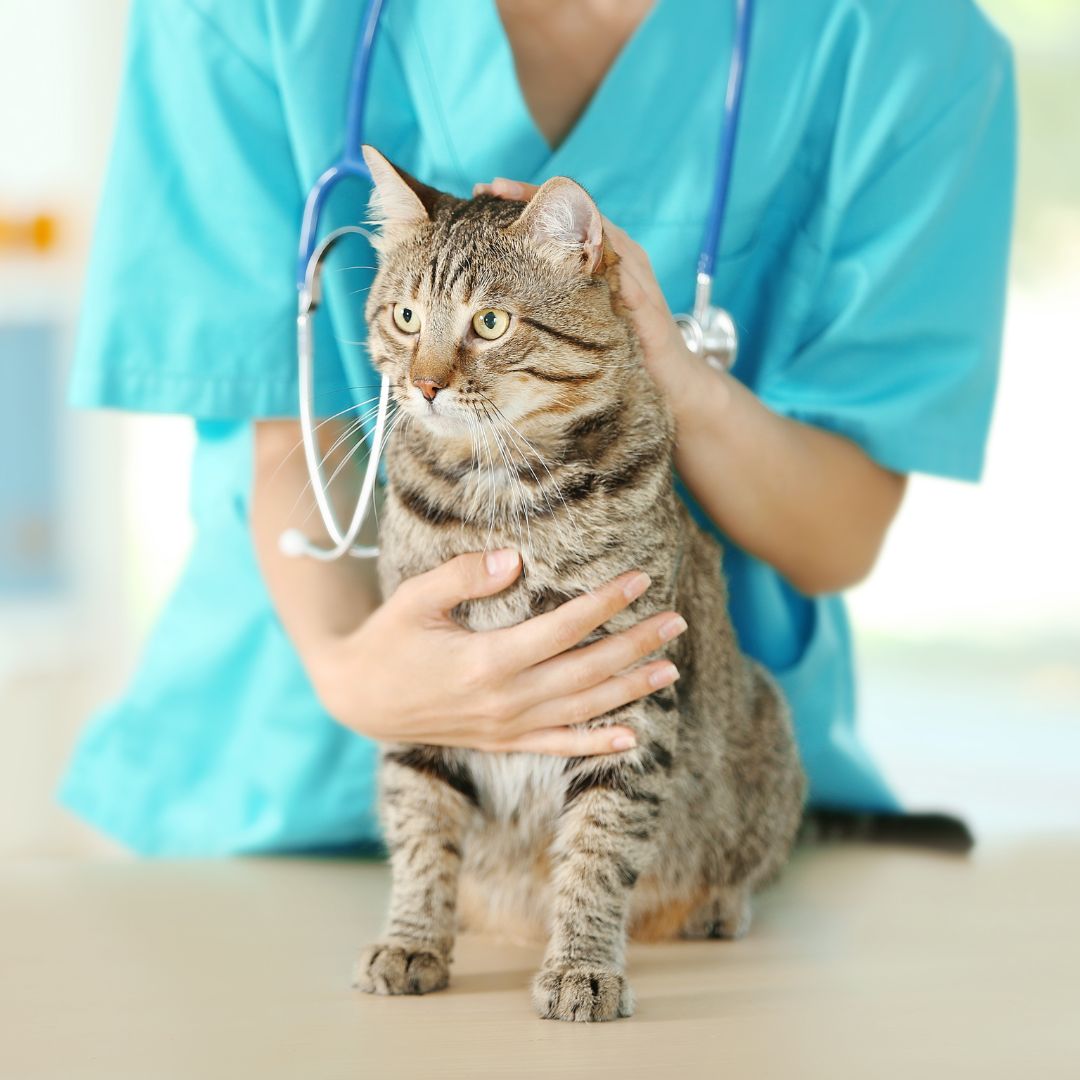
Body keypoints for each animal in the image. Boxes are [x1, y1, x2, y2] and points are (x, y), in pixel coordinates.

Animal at [349, 145, 807, 1019]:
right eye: (407, 318)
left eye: (490, 323)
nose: (424, 384)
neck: (500, 497)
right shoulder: (424, 675)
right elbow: (421, 827)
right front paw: (412, 939)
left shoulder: (630, 691)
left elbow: (597, 847)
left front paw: (582, 966)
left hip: (766, 727)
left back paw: (715, 904)